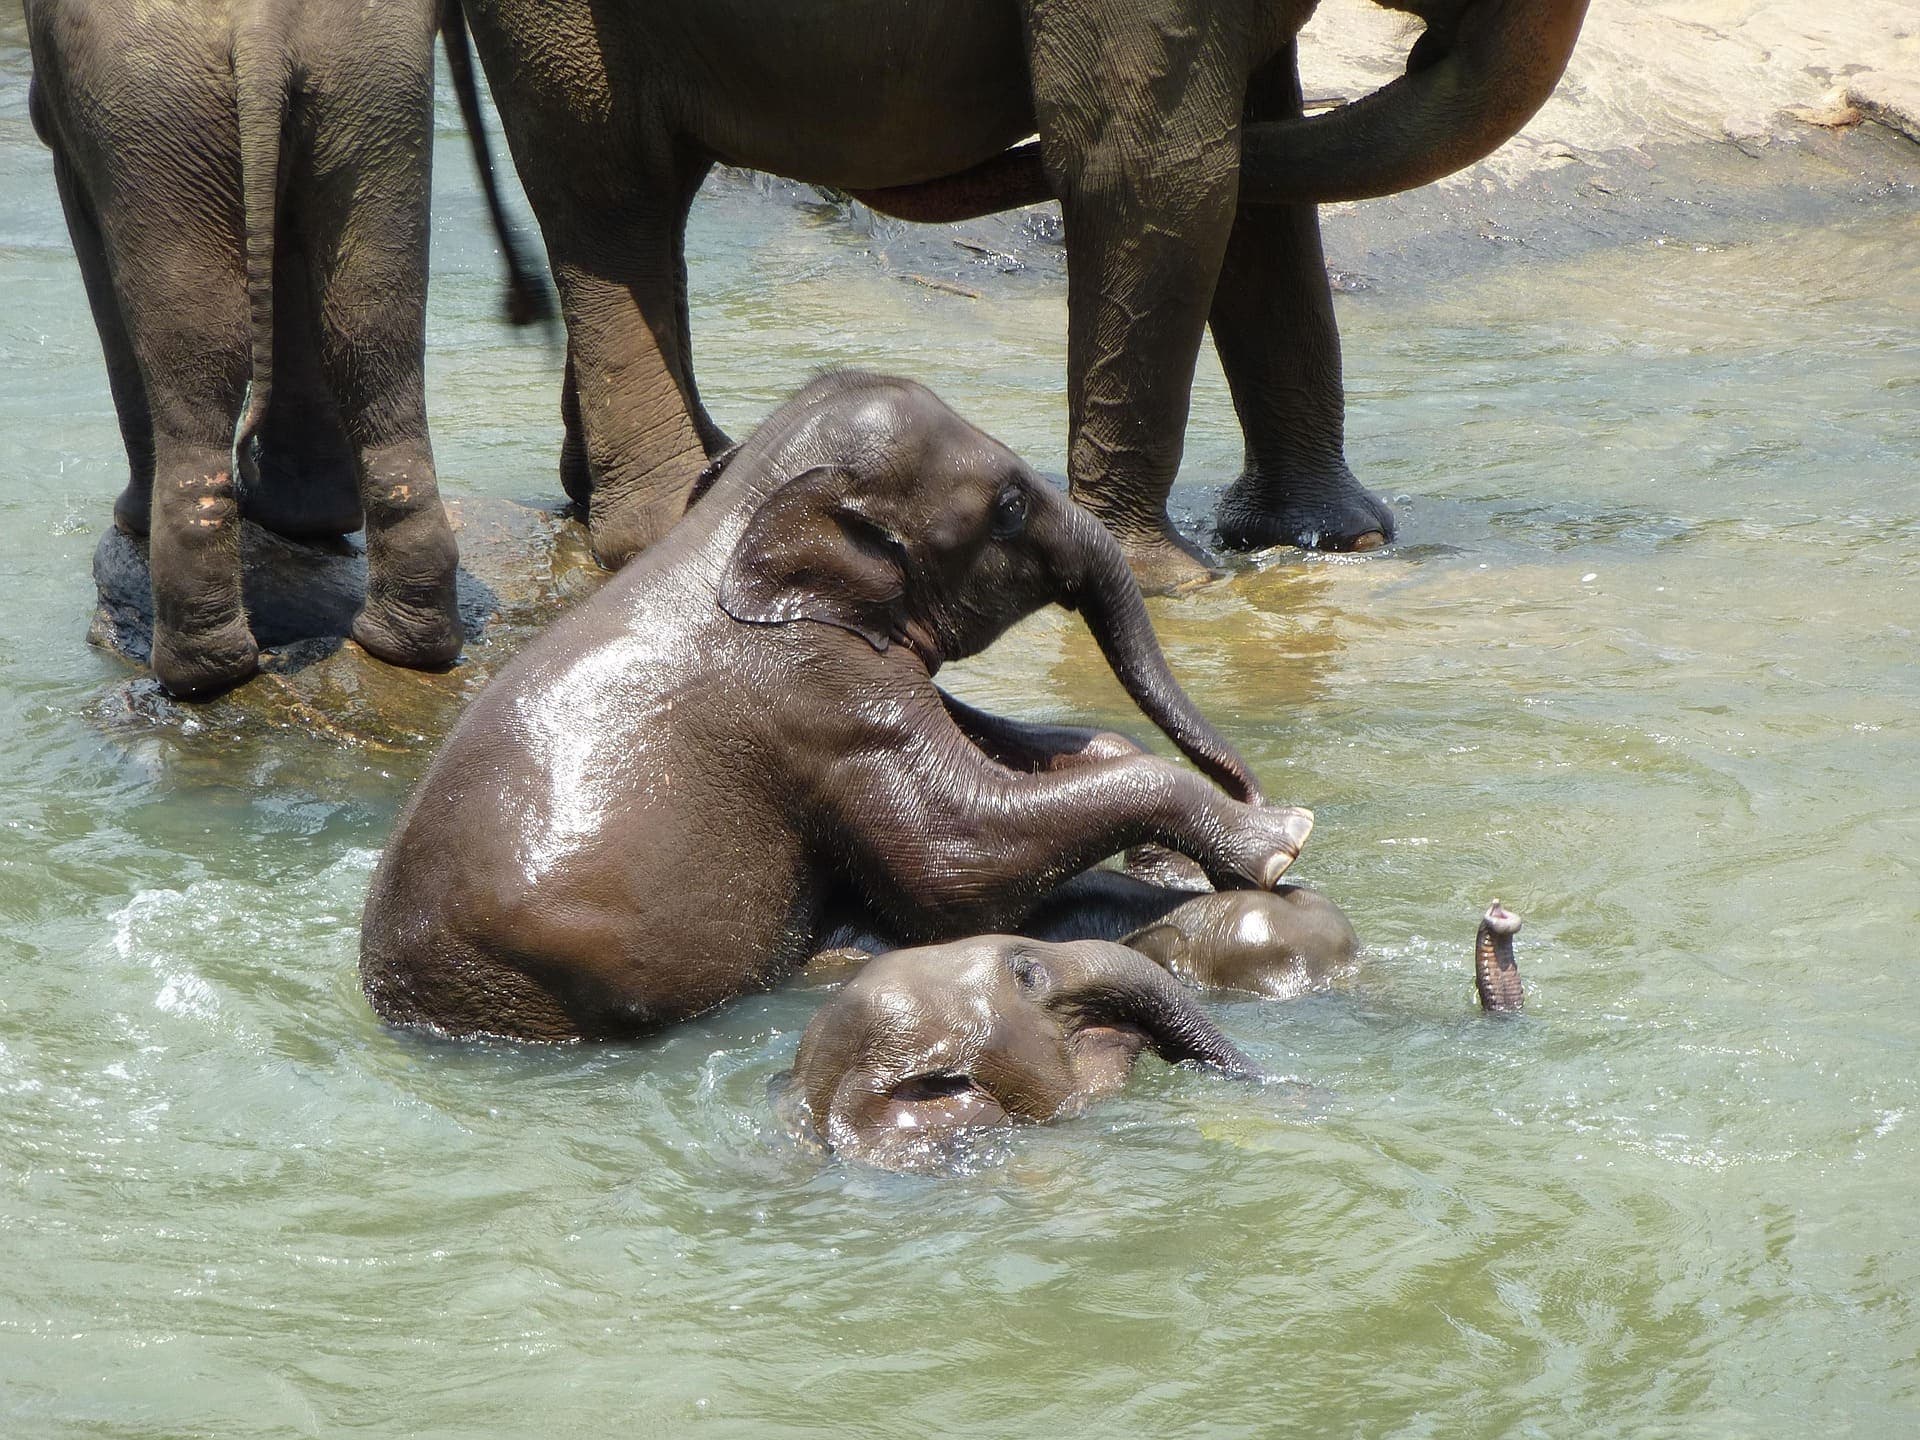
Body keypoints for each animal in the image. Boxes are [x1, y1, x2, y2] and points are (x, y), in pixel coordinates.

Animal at [26, 0, 548, 698]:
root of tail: (262, 27)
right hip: (371, 88)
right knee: (368, 334)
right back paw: (401, 641)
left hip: (151, 106)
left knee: (200, 358)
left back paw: (198, 673)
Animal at [359, 372, 1315, 1043]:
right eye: (1008, 509)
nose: (1255, 787)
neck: (735, 518)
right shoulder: (816, 700)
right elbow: (953, 863)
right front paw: (1279, 840)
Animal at [455, 0, 1589, 592]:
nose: (1427, 42)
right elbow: (1158, 170)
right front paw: (1169, 579)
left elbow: (1257, 173)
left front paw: (1332, 541)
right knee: (611, 187)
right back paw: (664, 522)